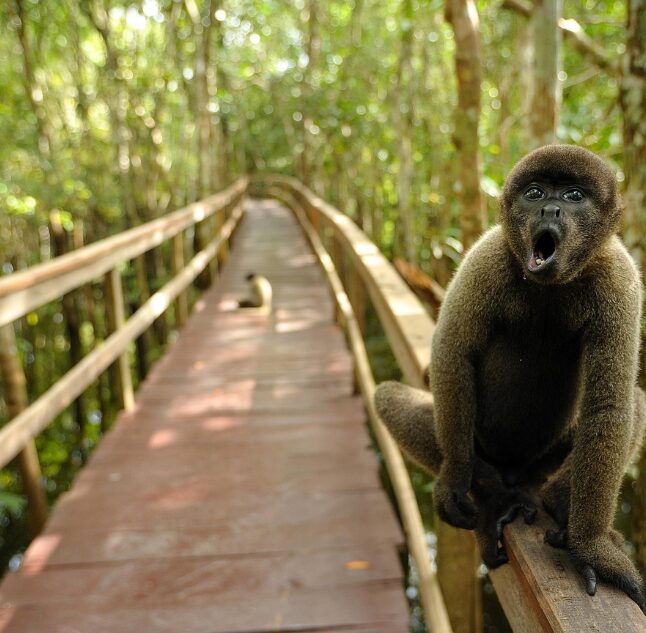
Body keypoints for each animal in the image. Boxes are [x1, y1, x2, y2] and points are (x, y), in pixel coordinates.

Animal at [374, 144, 646, 608]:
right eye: (534, 192)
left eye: (574, 196)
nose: (550, 208)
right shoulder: (485, 256)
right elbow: (451, 356)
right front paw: (456, 478)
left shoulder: (621, 280)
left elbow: (609, 406)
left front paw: (590, 546)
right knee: (387, 395)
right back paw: (492, 495)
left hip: (544, 461)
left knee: (634, 404)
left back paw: (557, 503)